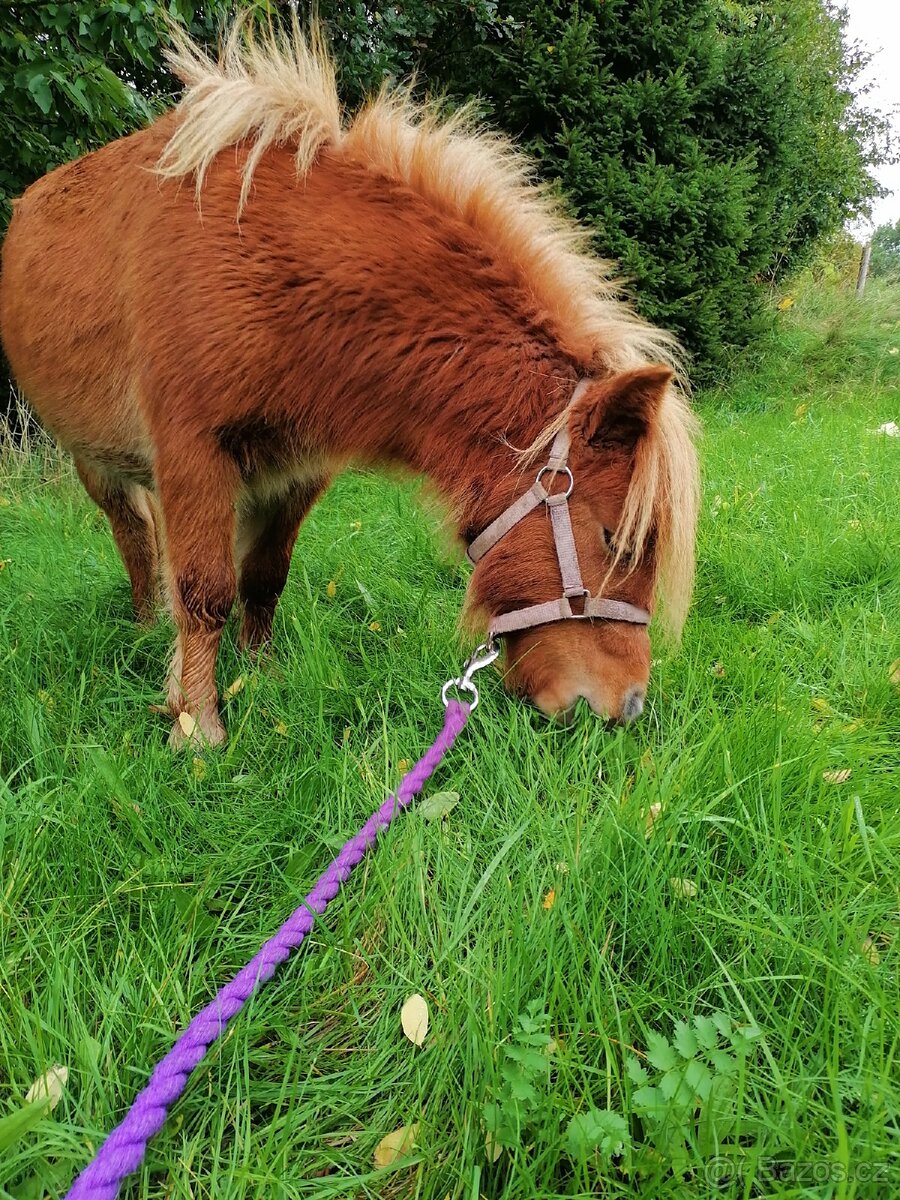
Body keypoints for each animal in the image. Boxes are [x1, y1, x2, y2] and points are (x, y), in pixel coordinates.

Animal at [0, 18, 699, 748]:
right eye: (617, 540)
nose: (628, 705)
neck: (274, 270)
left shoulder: (297, 471)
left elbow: (263, 578)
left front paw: (261, 677)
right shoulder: (194, 455)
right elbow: (203, 590)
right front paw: (197, 726)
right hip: (96, 461)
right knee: (134, 537)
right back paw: (144, 629)